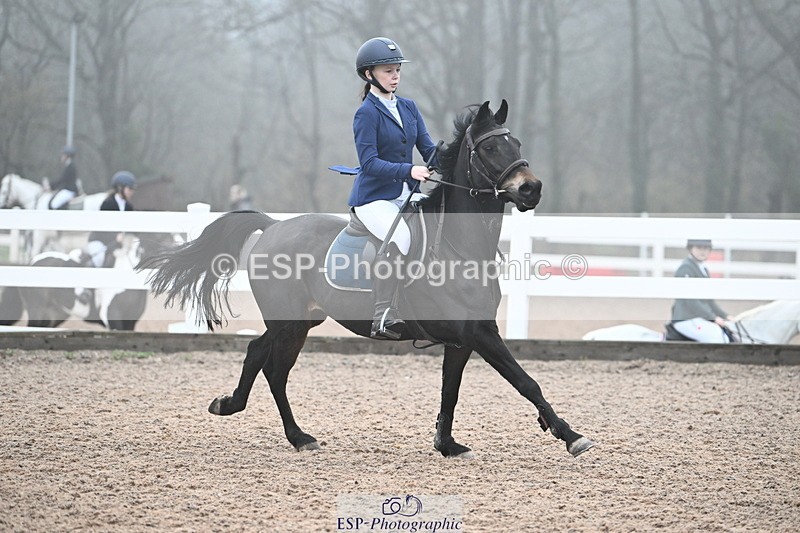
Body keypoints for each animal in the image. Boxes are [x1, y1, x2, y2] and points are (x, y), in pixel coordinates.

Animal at [138, 100, 595, 458]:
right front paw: (571, 436)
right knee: (275, 371)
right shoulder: (480, 332)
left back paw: (232, 406)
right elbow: (526, 381)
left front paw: (446, 444)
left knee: (256, 354)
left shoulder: (463, 338)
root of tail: (272, 227)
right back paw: (299, 437)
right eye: (490, 147)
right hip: (289, 324)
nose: (531, 189)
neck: (458, 244)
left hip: (300, 320)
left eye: (517, 144)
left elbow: (451, 389)